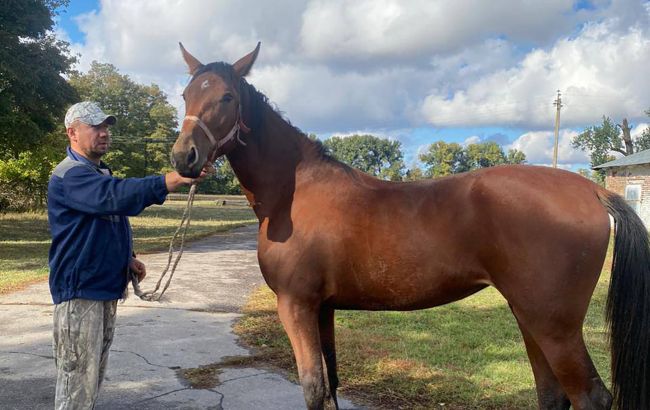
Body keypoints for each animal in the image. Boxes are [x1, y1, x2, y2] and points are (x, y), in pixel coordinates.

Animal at [171, 44, 648, 410]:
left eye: (228, 97)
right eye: (185, 94)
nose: (184, 158)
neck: (295, 192)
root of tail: (590, 190)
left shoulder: (296, 305)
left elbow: (313, 389)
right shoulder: (322, 308)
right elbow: (331, 385)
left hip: (553, 325)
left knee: (589, 397)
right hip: (529, 315)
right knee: (552, 395)